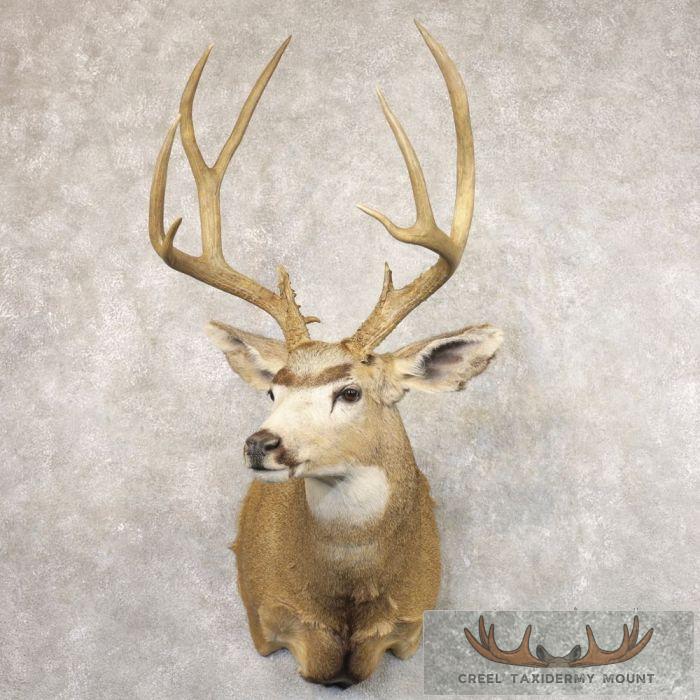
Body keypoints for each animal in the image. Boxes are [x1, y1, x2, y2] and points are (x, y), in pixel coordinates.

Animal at [148, 21, 503, 687]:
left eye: (350, 390)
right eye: (273, 388)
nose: (260, 444)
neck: (346, 606)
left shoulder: (413, 625)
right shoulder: (266, 622)